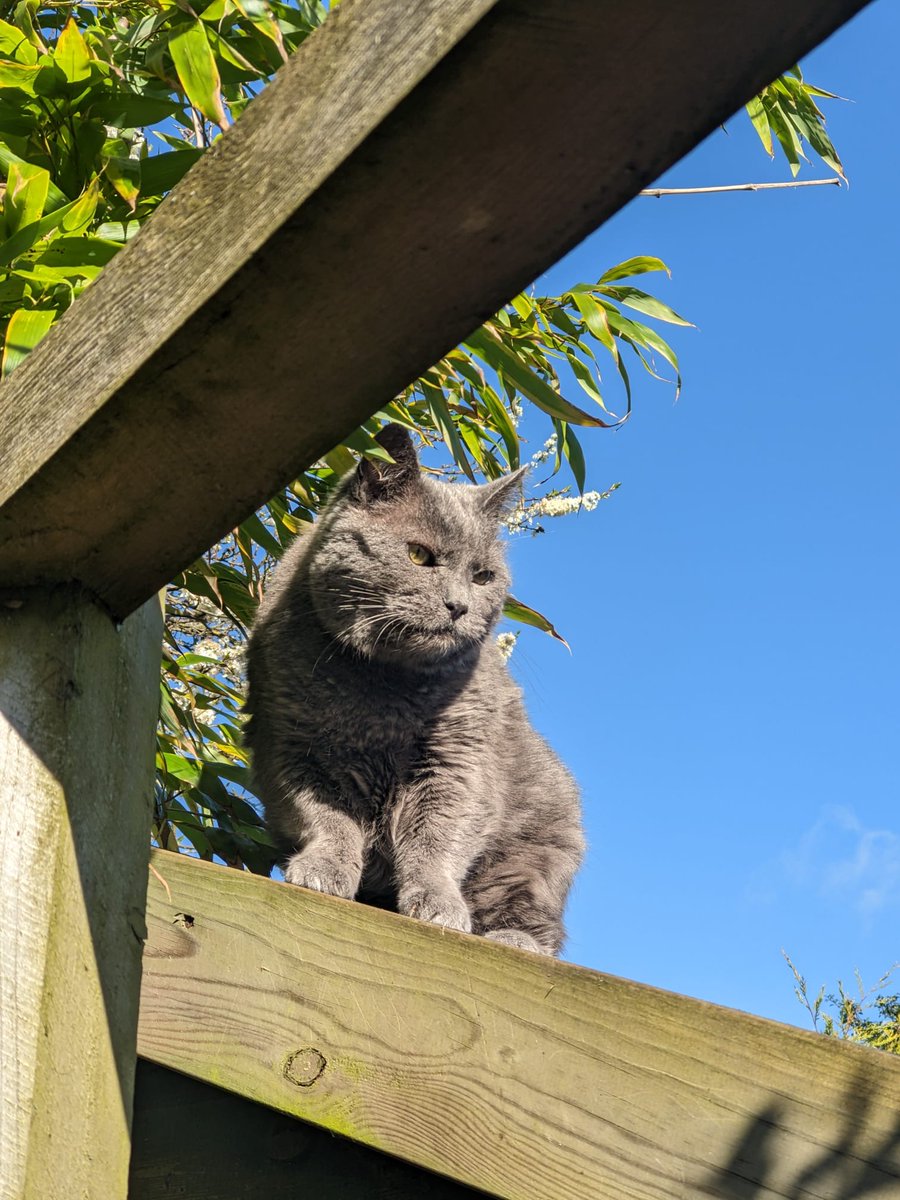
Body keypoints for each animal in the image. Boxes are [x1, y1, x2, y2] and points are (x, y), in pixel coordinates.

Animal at [244, 427, 585, 950]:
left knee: (535, 919)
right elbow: (327, 819)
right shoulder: (291, 748)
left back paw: (511, 939)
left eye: (482, 576)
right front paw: (324, 869)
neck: (381, 691)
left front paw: (437, 902)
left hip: (543, 841)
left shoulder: (458, 760)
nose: (459, 606)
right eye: (418, 555)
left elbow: (436, 836)